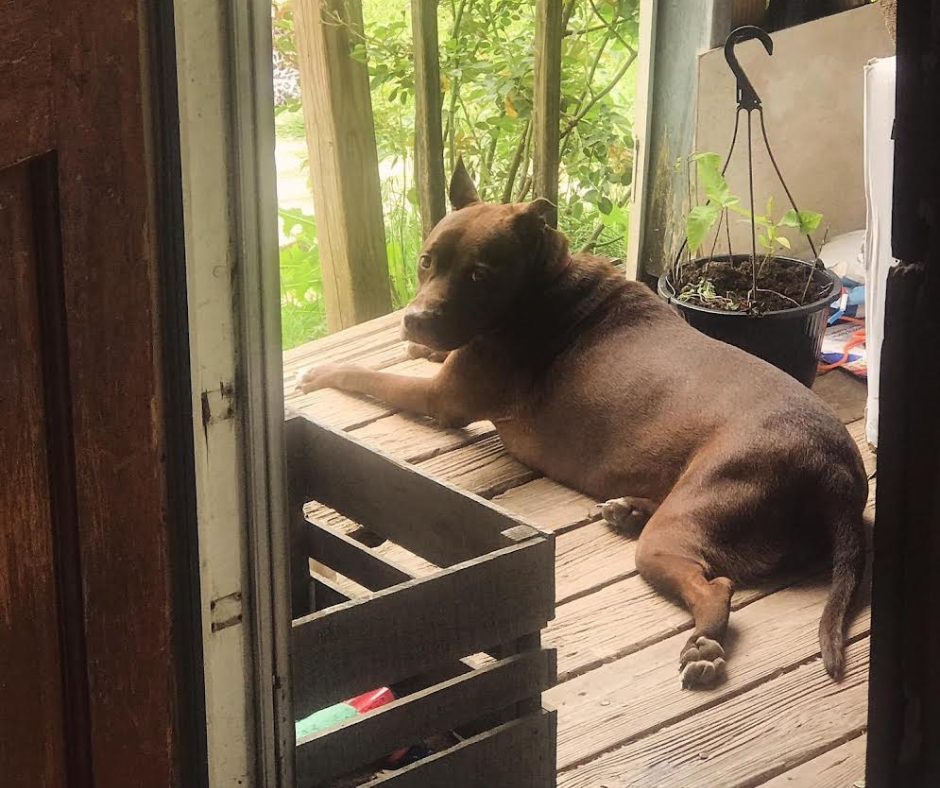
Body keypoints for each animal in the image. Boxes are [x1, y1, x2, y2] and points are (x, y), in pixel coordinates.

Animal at [300, 160, 868, 688]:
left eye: (480, 273)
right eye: (426, 260)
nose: (415, 318)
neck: (540, 284)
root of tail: (835, 468)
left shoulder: (442, 398)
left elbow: (366, 376)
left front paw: (320, 373)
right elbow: (417, 356)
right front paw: (414, 346)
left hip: (690, 516)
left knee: (716, 588)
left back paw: (703, 646)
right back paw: (628, 509)